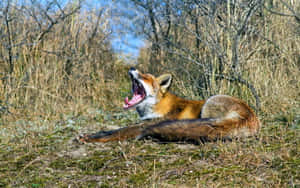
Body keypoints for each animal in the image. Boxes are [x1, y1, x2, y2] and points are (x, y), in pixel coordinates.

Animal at [78, 67, 258, 144]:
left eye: (146, 77)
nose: (132, 67)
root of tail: (249, 116)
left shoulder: (144, 125)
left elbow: (117, 132)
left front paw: (93, 139)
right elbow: (111, 130)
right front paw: (91, 134)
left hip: (209, 102)